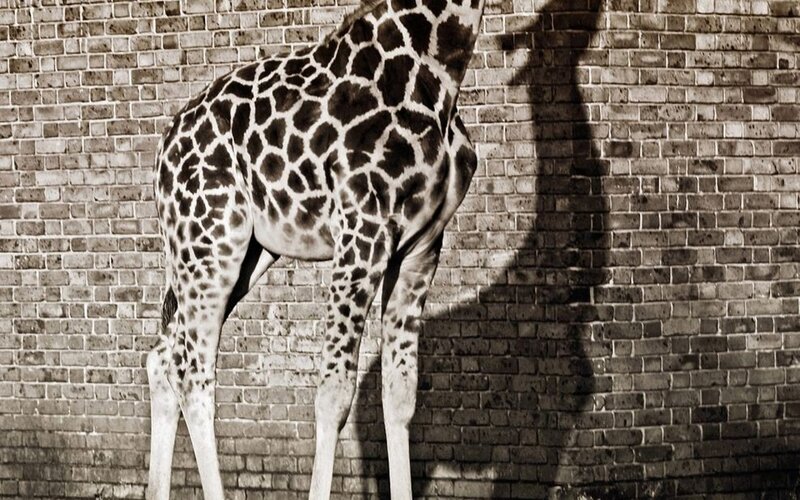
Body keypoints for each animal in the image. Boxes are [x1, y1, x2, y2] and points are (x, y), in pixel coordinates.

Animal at [146, 0, 485, 497]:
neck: (439, 66)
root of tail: (163, 149)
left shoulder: (421, 246)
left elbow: (400, 395)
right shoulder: (361, 234)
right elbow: (333, 395)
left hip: (241, 255)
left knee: (163, 358)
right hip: (210, 241)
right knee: (192, 374)